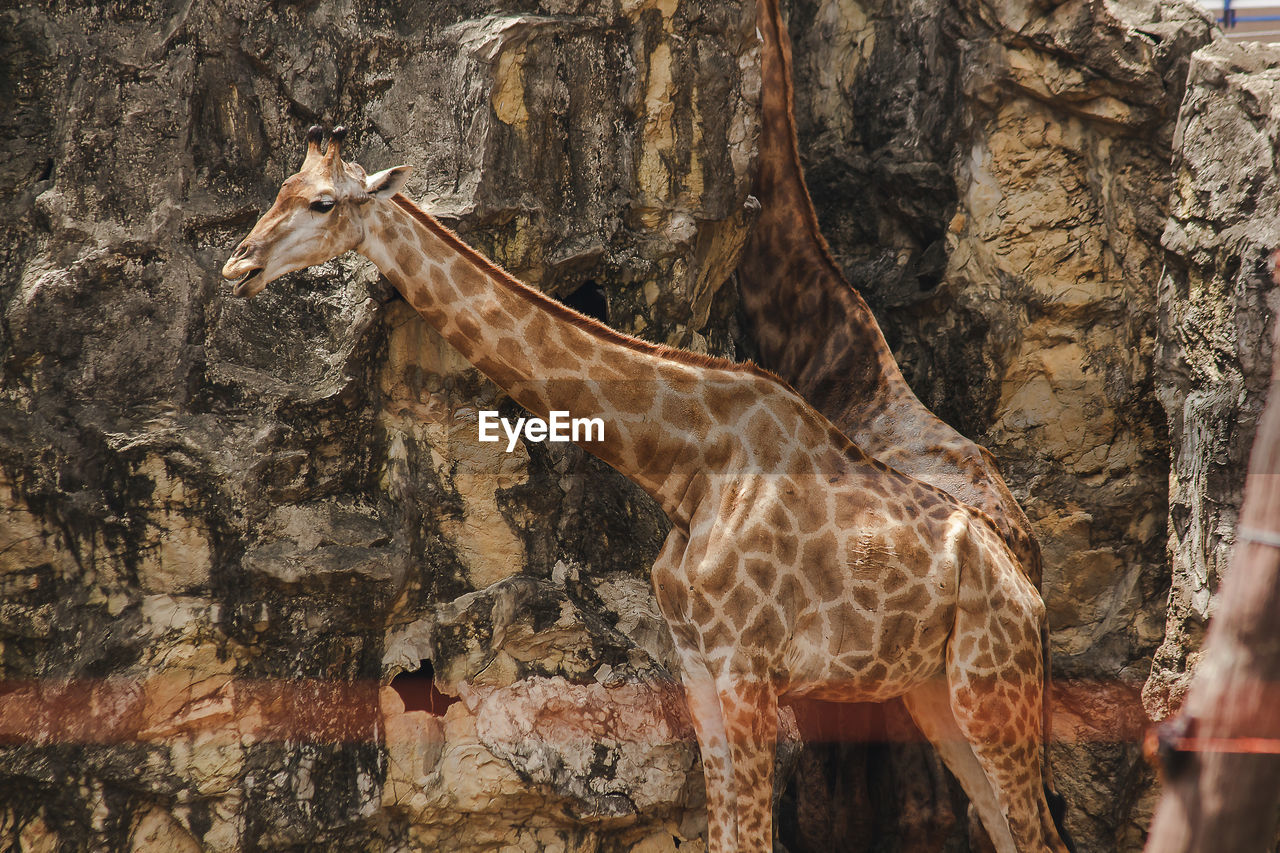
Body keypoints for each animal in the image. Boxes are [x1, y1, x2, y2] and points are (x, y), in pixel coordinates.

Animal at [222, 126, 1070, 850]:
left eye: (322, 203)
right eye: (281, 188)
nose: (237, 267)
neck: (682, 467)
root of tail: (1026, 585)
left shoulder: (747, 667)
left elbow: (752, 837)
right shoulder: (697, 663)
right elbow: (725, 835)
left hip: (993, 681)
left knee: (1036, 830)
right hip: (934, 691)